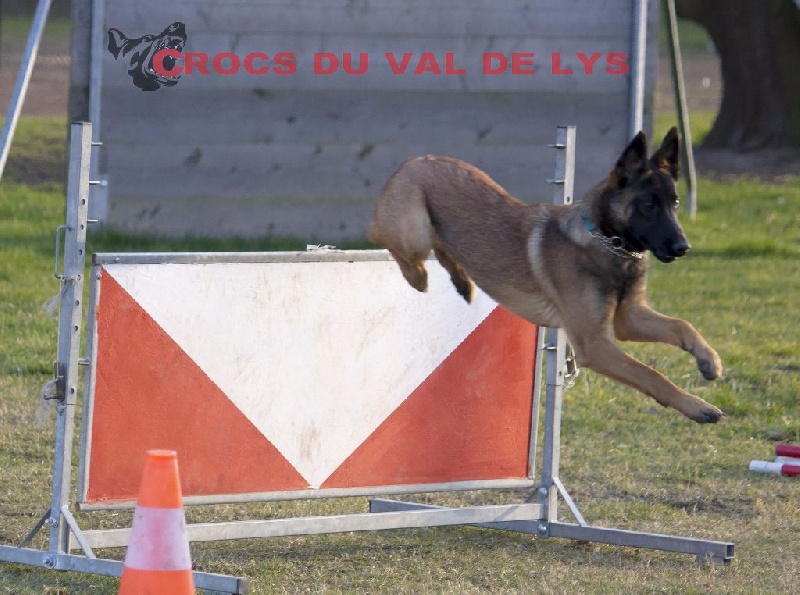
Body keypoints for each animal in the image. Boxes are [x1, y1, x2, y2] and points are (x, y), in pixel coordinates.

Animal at [370, 128, 724, 424]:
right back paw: (418, 275)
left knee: (444, 249)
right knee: (385, 238)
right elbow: (651, 374)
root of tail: (416, 160)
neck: (608, 243)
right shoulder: (594, 343)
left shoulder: (627, 319)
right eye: (649, 205)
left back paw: (462, 281)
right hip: (413, 231)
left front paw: (709, 359)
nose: (683, 247)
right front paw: (698, 407)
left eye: (675, 203)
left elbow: (682, 325)